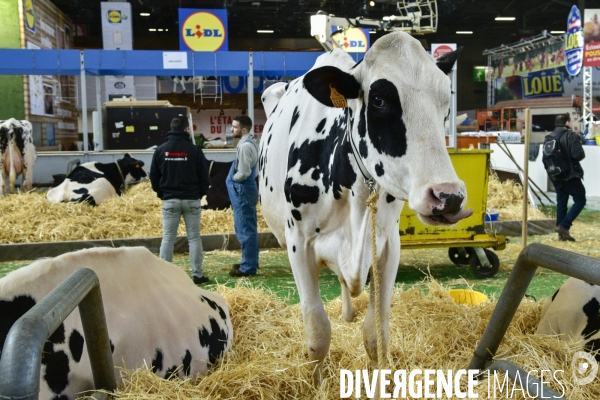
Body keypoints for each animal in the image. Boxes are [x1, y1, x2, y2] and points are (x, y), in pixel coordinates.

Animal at [258, 32, 474, 384]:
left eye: (445, 101)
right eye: (380, 100)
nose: (448, 196)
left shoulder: (387, 245)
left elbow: (376, 332)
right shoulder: (298, 243)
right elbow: (317, 332)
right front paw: (316, 384)